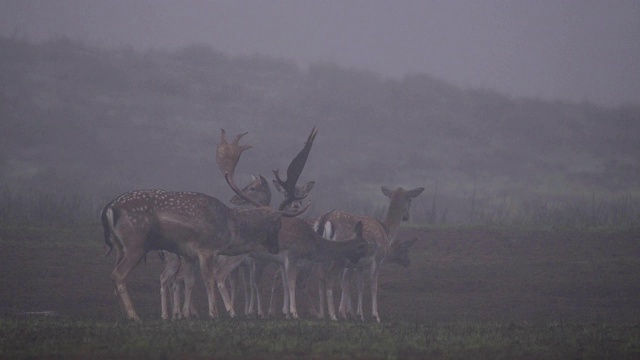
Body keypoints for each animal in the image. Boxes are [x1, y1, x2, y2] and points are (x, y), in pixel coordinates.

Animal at [101, 129, 312, 320]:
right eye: (277, 223)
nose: (275, 247)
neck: (229, 229)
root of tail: (110, 208)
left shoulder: (187, 255)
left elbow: (190, 281)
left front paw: (186, 314)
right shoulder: (206, 249)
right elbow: (209, 280)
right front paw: (215, 313)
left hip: (120, 246)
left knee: (117, 275)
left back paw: (127, 314)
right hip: (136, 243)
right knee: (118, 275)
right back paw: (134, 315)